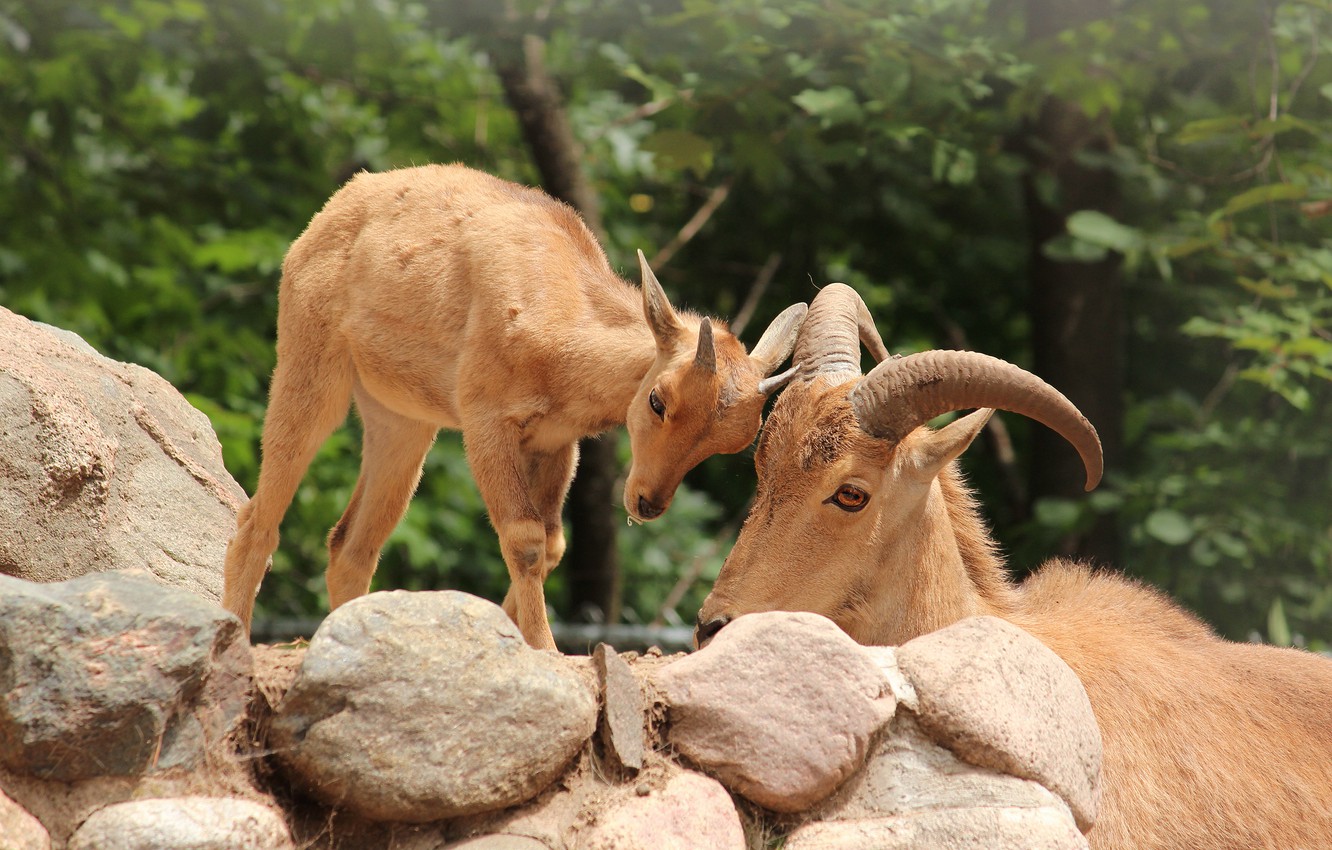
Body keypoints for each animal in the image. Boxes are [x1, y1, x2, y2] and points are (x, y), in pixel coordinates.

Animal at [222, 163, 807, 650]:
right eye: (658, 400)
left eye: (732, 442)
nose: (646, 502)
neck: (563, 330)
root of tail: (325, 215)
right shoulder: (486, 422)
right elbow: (524, 539)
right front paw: (545, 648)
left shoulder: (555, 443)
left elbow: (551, 544)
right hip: (310, 363)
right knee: (259, 516)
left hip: (401, 420)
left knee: (351, 545)